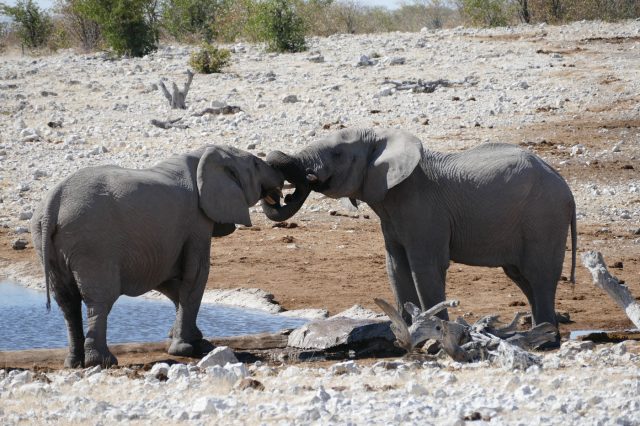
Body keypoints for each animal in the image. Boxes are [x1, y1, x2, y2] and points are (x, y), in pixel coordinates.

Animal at [29, 145, 284, 368]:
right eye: (256, 163)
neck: (202, 155)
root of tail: (53, 203)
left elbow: (168, 281)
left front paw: (200, 343)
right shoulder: (197, 220)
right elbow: (196, 274)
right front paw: (185, 349)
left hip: (46, 241)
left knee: (67, 301)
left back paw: (73, 363)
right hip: (92, 242)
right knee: (99, 299)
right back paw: (103, 362)